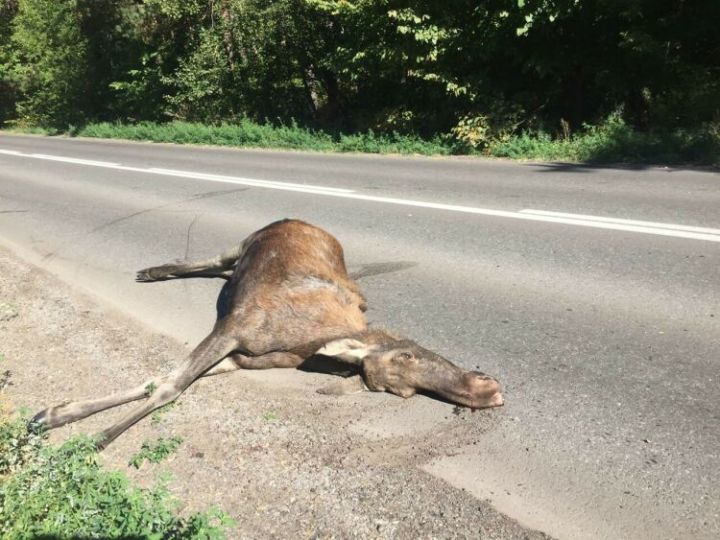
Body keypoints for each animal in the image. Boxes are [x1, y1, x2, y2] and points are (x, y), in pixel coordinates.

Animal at [33, 219, 504, 448]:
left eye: (403, 394)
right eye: (406, 355)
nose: (487, 390)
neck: (306, 345)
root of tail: (306, 221)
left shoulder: (242, 357)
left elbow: (157, 379)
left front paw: (58, 413)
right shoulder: (232, 329)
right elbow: (168, 386)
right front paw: (93, 436)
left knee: (221, 271)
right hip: (245, 241)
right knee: (214, 259)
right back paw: (154, 270)